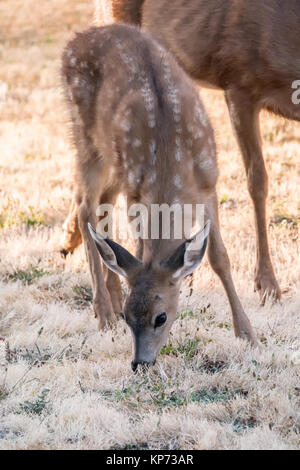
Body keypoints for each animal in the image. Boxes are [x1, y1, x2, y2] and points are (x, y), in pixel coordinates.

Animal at [61, 23, 258, 370]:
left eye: (161, 317)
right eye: (128, 318)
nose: (140, 363)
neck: (170, 165)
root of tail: (77, 38)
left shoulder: (209, 184)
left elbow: (219, 257)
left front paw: (247, 334)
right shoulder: (138, 192)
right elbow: (140, 248)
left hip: (112, 162)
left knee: (101, 207)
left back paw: (111, 298)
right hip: (87, 138)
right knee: (86, 208)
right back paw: (103, 311)